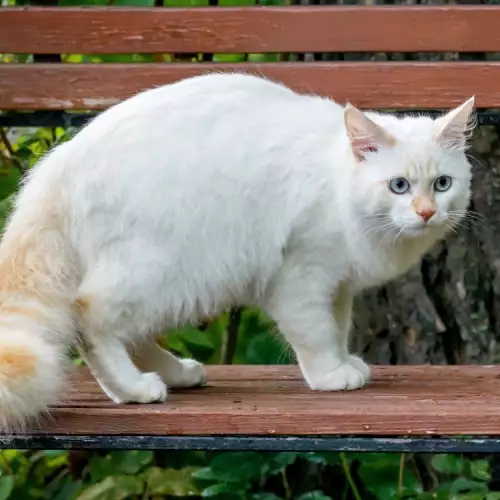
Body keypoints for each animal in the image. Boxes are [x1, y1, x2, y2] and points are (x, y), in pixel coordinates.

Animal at [0, 73, 472, 430]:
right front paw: (330, 376)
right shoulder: (302, 277)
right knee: (89, 318)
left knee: (129, 333)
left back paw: (177, 374)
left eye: (442, 184)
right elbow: (317, 334)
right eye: (399, 186)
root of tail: (56, 166)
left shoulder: (337, 286)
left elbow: (336, 329)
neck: (336, 181)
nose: (426, 212)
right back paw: (134, 390)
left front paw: (344, 363)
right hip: (166, 273)